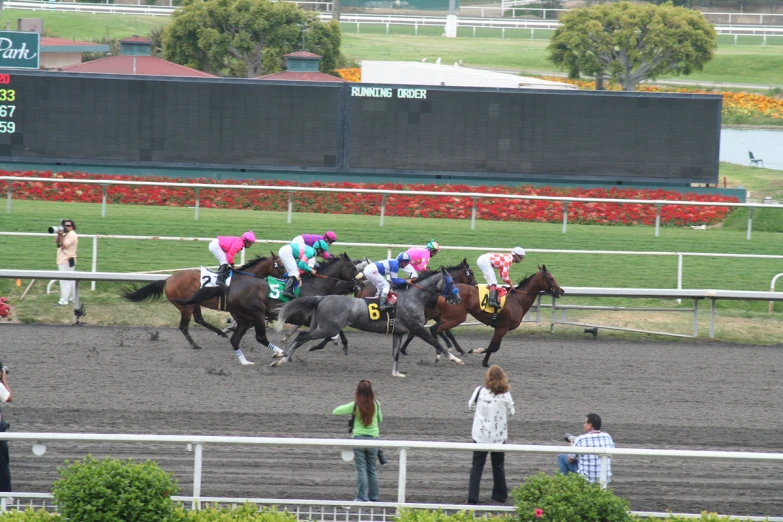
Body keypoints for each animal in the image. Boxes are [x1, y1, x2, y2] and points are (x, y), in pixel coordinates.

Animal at [119, 253, 284, 348]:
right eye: (282, 266)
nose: (288, 276)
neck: (245, 278)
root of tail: (168, 279)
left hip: (194, 303)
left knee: (199, 319)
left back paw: (219, 333)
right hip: (186, 306)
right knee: (184, 326)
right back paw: (195, 345)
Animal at [174, 254, 358, 364]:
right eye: (355, 268)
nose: (359, 284)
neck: (317, 286)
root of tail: (229, 287)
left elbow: (336, 331)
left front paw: (341, 345)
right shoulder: (309, 319)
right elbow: (332, 332)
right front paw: (319, 346)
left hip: (244, 318)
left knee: (235, 339)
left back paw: (245, 361)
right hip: (256, 314)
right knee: (260, 337)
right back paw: (279, 353)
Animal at [274, 266, 462, 376]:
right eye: (452, 282)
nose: (458, 298)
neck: (413, 297)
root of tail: (323, 298)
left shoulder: (399, 332)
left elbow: (395, 353)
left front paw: (396, 373)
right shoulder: (417, 328)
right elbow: (436, 343)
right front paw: (455, 359)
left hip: (322, 326)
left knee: (301, 337)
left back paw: (281, 357)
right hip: (328, 328)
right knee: (302, 336)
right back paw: (282, 357)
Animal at [434, 264, 564, 366]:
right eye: (551, 278)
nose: (561, 291)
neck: (517, 300)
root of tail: (443, 294)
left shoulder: (501, 327)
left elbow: (494, 346)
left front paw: (479, 355)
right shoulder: (502, 327)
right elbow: (494, 347)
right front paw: (480, 357)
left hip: (447, 317)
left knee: (438, 330)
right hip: (456, 318)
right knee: (435, 330)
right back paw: (441, 354)